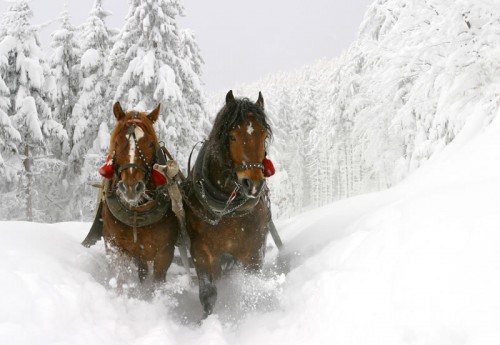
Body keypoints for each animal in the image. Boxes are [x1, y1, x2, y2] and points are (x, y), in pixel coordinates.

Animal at [98, 102, 179, 284]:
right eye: (117, 143)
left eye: (150, 144)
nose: (131, 187)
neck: (137, 212)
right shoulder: (116, 247)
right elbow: (121, 277)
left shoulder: (165, 253)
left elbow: (157, 282)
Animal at [183, 90, 274, 318]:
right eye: (232, 136)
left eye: (264, 136)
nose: (253, 184)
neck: (227, 210)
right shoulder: (202, 252)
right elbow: (208, 294)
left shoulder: (253, 252)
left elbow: (252, 288)